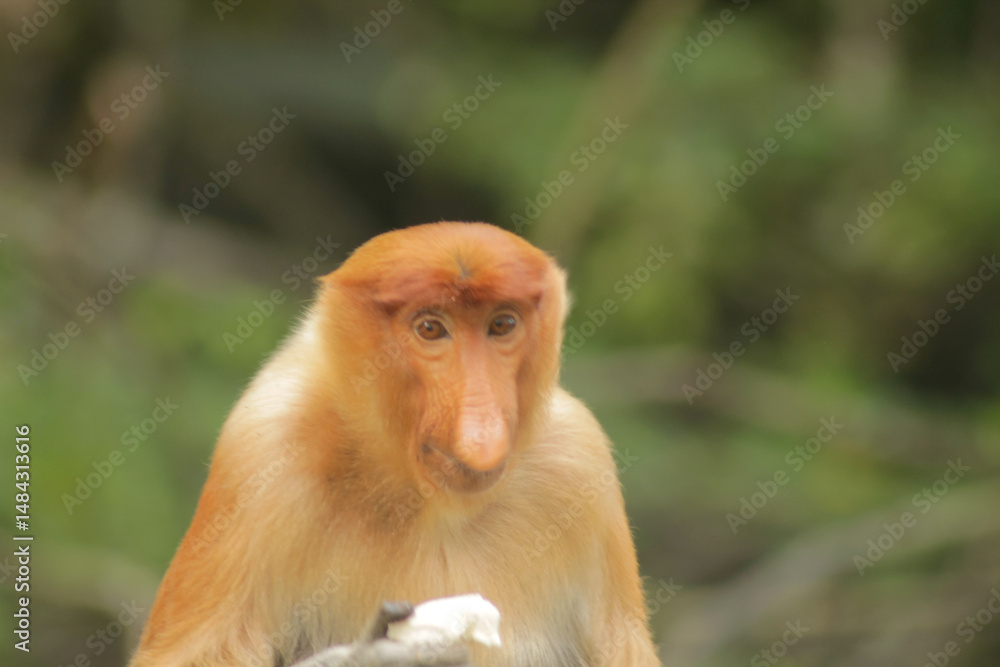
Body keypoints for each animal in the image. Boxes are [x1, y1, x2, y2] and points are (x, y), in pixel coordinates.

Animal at [130, 222, 659, 667]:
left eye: (502, 325)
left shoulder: (580, 460)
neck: (430, 505)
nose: (482, 436)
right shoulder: (262, 448)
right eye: (431, 328)